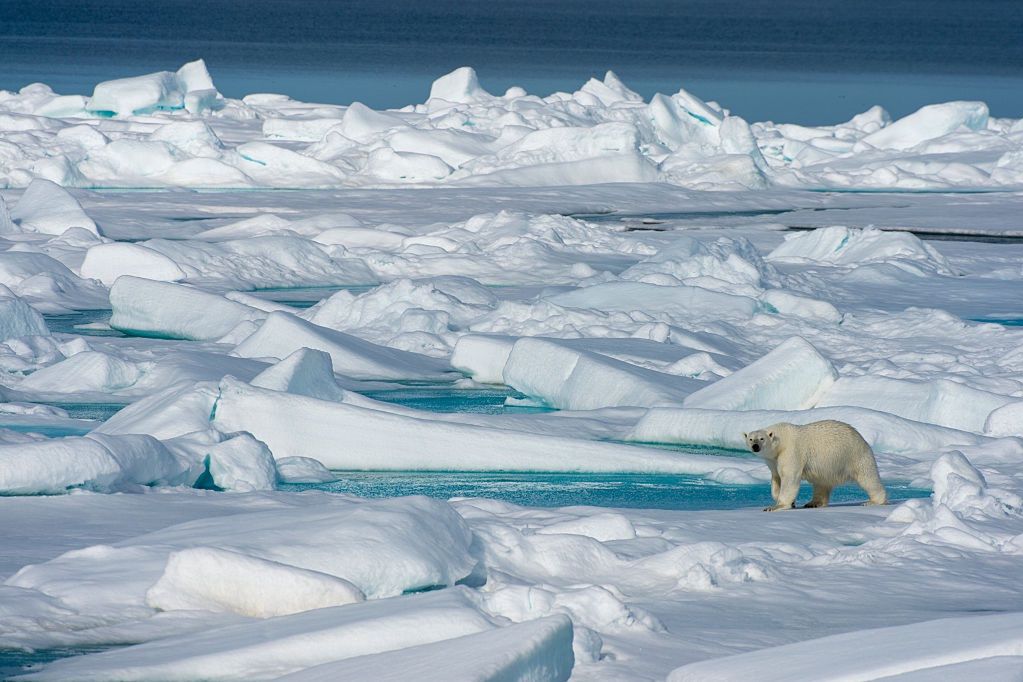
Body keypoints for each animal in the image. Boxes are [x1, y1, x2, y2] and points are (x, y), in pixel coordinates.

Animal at [744, 421, 887, 511]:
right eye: (750, 439)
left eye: (761, 438)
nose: (755, 446)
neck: (781, 441)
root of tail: (861, 438)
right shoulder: (773, 460)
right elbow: (776, 478)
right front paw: (790, 502)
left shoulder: (791, 452)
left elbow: (789, 477)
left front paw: (774, 507)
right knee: (821, 484)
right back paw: (813, 503)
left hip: (854, 455)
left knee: (868, 478)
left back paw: (873, 501)